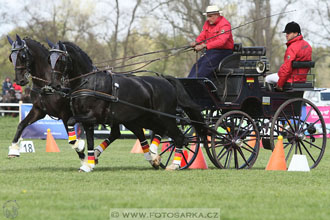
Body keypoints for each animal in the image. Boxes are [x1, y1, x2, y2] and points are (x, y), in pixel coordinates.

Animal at [48, 40, 206, 172]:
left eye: (61, 59)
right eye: (49, 60)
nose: (54, 85)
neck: (88, 82)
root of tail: (165, 80)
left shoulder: (93, 117)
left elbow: (71, 121)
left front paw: (79, 147)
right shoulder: (87, 120)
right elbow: (88, 139)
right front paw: (88, 163)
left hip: (163, 117)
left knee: (179, 137)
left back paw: (173, 164)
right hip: (142, 118)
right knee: (156, 132)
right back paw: (153, 156)